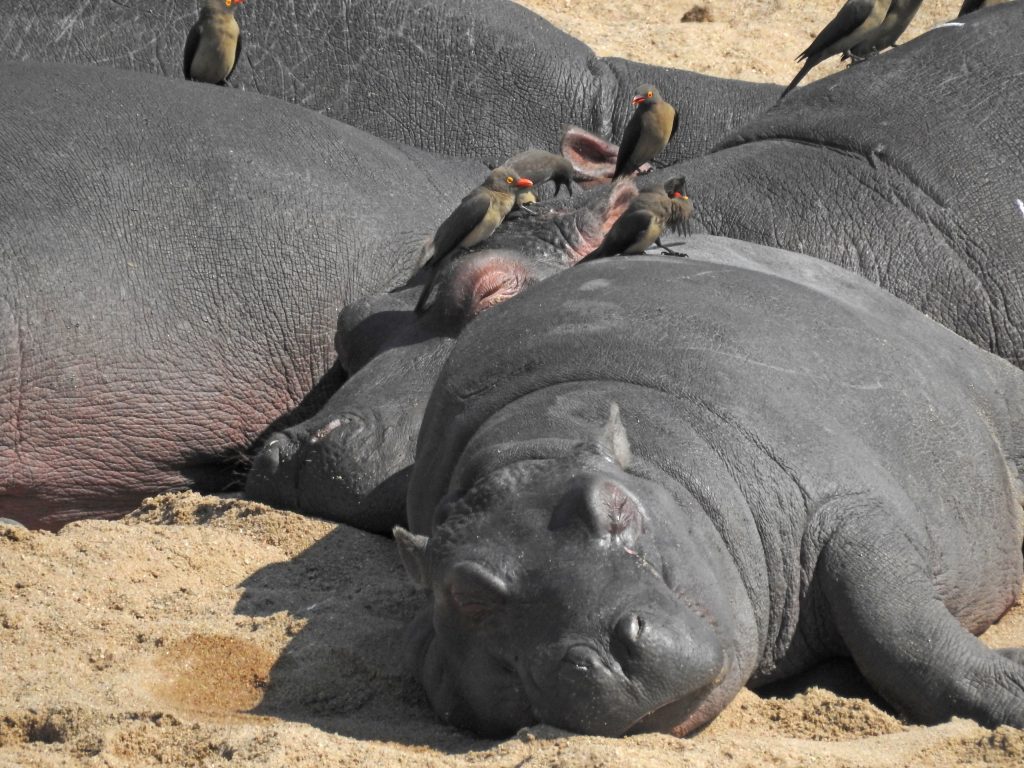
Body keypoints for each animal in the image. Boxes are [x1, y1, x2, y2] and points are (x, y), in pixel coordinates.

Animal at [395, 245, 1024, 737]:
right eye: (466, 594)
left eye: (616, 506)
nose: (604, 654)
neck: (534, 449)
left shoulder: (843, 510)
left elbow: (898, 627)